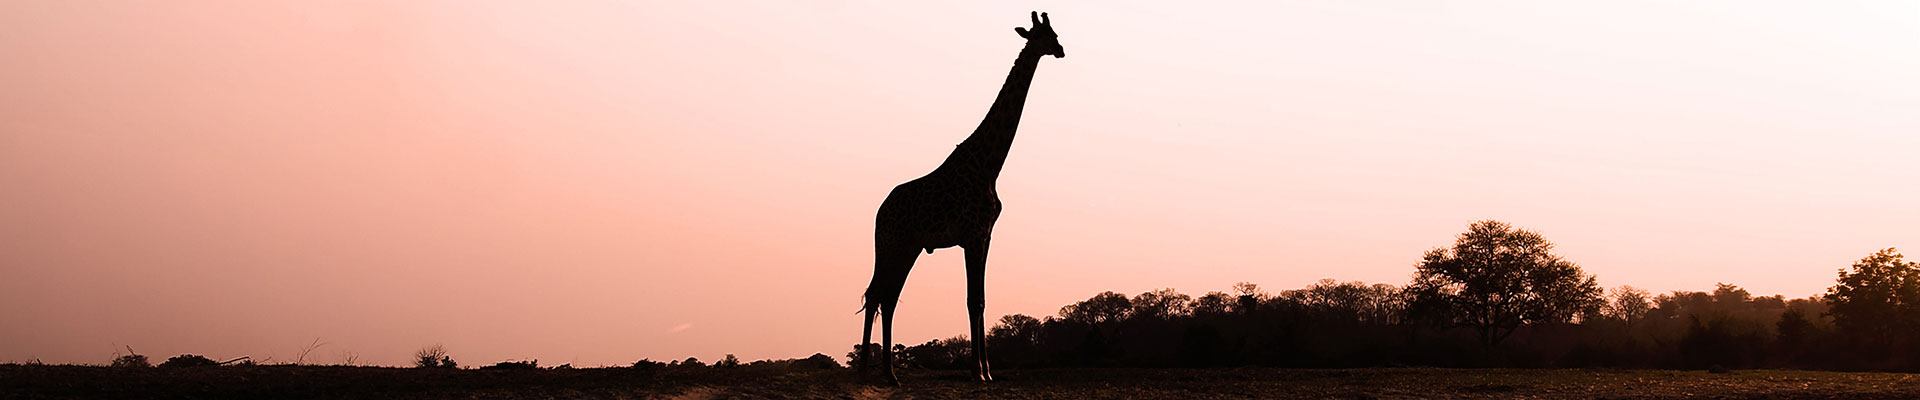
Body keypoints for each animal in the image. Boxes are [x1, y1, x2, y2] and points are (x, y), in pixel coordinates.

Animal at [867, 11, 1075, 384]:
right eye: (1044, 35)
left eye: (1054, 33)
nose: (1061, 50)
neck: (989, 166)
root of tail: (879, 213)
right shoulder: (973, 236)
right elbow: (972, 300)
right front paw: (978, 371)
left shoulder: (986, 236)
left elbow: (981, 299)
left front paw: (987, 371)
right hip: (894, 244)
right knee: (879, 294)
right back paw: (877, 373)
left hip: (908, 247)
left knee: (883, 297)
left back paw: (878, 373)